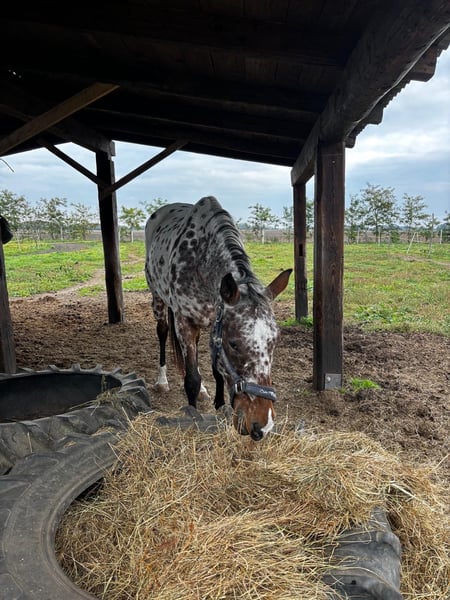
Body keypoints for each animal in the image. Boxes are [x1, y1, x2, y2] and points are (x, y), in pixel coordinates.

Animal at [145, 196, 292, 441]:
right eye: (234, 343)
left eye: (275, 342)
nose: (262, 425)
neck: (200, 259)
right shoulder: (185, 322)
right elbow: (191, 379)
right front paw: (193, 415)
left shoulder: (216, 321)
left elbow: (217, 372)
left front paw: (220, 404)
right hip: (158, 299)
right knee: (163, 332)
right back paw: (162, 381)